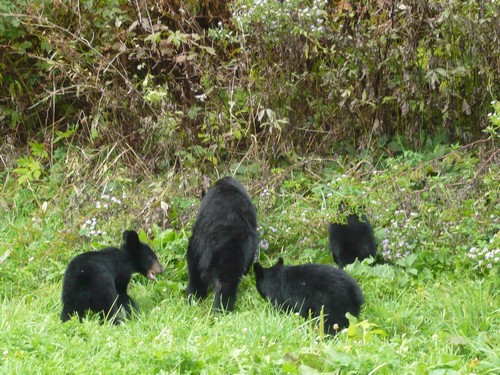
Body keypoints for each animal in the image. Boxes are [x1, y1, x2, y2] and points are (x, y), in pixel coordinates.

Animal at [187, 178, 258, 312]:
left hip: (195, 248)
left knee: (194, 277)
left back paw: (193, 300)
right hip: (230, 253)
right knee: (226, 285)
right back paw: (222, 309)